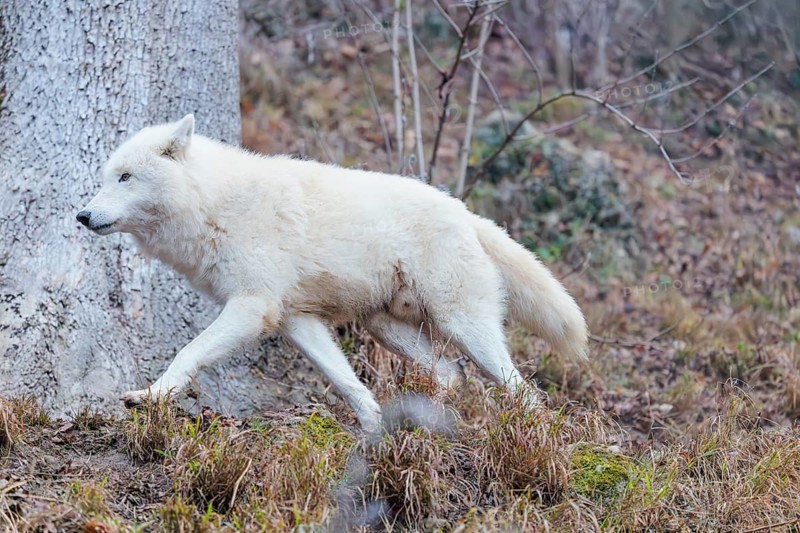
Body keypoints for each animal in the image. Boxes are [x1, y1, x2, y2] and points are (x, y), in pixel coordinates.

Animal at [76, 115, 588, 433]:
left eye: (125, 177)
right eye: (104, 178)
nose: (81, 215)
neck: (213, 206)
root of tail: (465, 211)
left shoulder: (252, 308)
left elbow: (188, 353)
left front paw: (150, 397)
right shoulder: (296, 320)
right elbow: (347, 383)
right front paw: (373, 431)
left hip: (466, 328)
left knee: (521, 389)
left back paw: (538, 434)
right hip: (385, 328)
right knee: (451, 374)